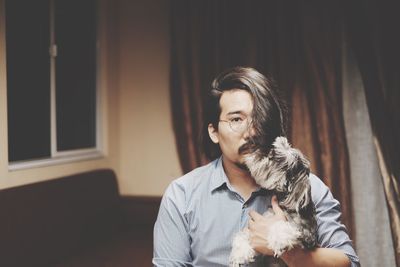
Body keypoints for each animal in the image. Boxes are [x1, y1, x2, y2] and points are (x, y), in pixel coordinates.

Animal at [230, 137, 318, 266]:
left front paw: (280, 240)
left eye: (275, 157)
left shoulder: (307, 235)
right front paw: (239, 253)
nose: (257, 151)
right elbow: (244, 235)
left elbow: (281, 225)